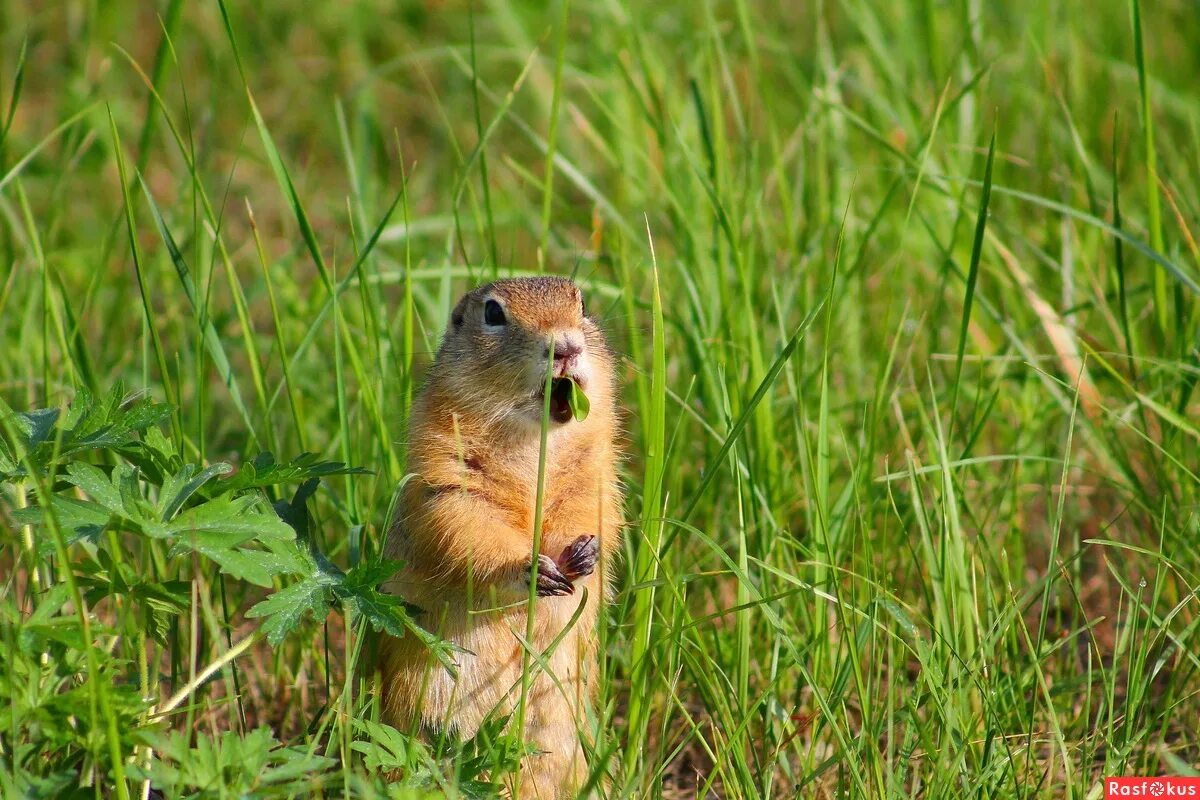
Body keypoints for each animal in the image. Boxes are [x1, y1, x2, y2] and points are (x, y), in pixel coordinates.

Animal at [381, 277, 628, 800]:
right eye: (493, 314)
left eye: (583, 303)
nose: (566, 346)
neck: (535, 440)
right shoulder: (445, 472)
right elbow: (465, 525)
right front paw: (534, 570)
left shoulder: (596, 471)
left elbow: (593, 509)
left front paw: (584, 553)